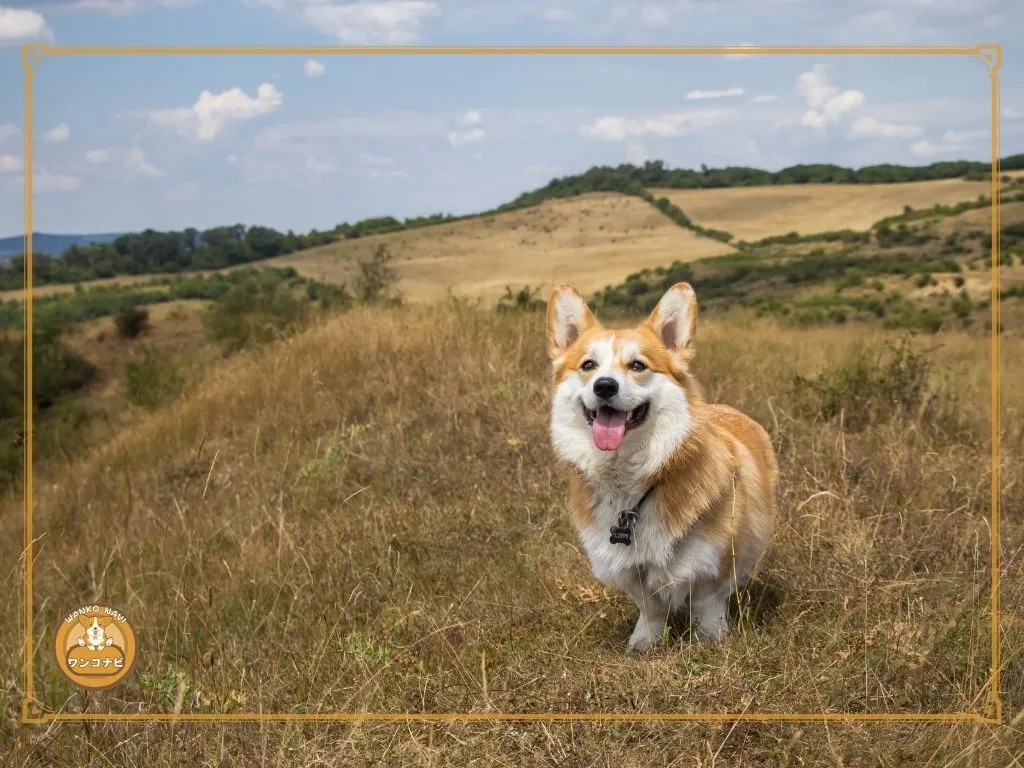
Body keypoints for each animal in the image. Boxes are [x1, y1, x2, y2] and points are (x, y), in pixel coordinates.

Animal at [544, 280, 774, 651]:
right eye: (588, 365)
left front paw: (711, 641)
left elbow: (708, 604)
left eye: (638, 366)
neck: (631, 486)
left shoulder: (714, 562)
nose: (604, 386)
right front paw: (643, 644)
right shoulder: (629, 569)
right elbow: (649, 609)